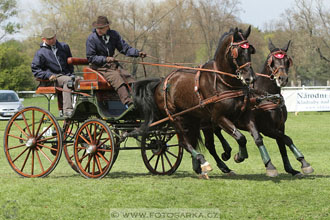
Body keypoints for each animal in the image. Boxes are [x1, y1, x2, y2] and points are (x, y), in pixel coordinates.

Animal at [133, 26, 256, 179]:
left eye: (250, 50)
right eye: (237, 51)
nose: (250, 78)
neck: (222, 81)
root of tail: (161, 82)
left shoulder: (234, 116)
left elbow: (240, 137)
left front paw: (230, 155)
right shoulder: (218, 117)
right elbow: (240, 137)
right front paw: (238, 156)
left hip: (192, 119)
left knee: (198, 142)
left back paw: (208, 166)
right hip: (175, 117)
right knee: (185, 143)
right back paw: (202, 161)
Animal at [202, 39, 314, 177]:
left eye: (287, 61)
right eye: (272, 61)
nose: (282, 79)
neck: (266, 96)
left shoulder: (280, 125)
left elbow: (283, 143)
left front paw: (293, 168)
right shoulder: (266, 128)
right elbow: (275, 139)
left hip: (216, 120)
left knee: (217, 132)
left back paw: (226, 153)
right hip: (206, 123)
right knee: (210, 145)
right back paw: (223, 165)